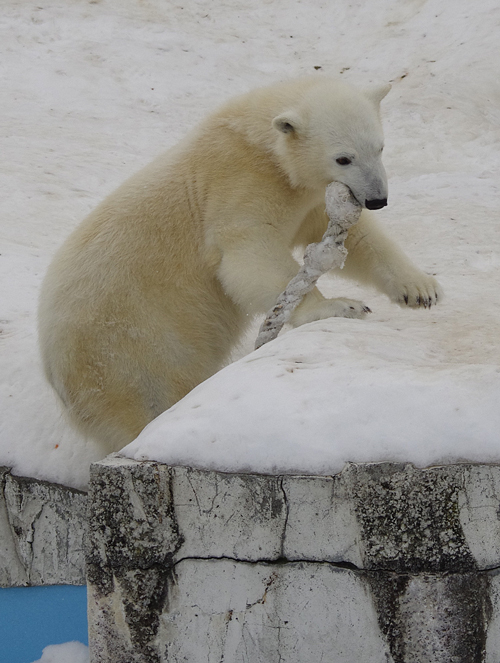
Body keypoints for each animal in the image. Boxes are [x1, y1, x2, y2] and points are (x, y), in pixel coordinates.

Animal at [38, 76, 442, 452]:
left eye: (379, 147)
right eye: (343, 157)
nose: (377, 199)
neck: (258, 142)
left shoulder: (304, 198)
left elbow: (358, 239)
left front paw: (420, 289)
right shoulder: (237, 186)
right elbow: (250, 255)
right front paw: (341, 306)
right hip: (128, 352)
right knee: (144, 401)